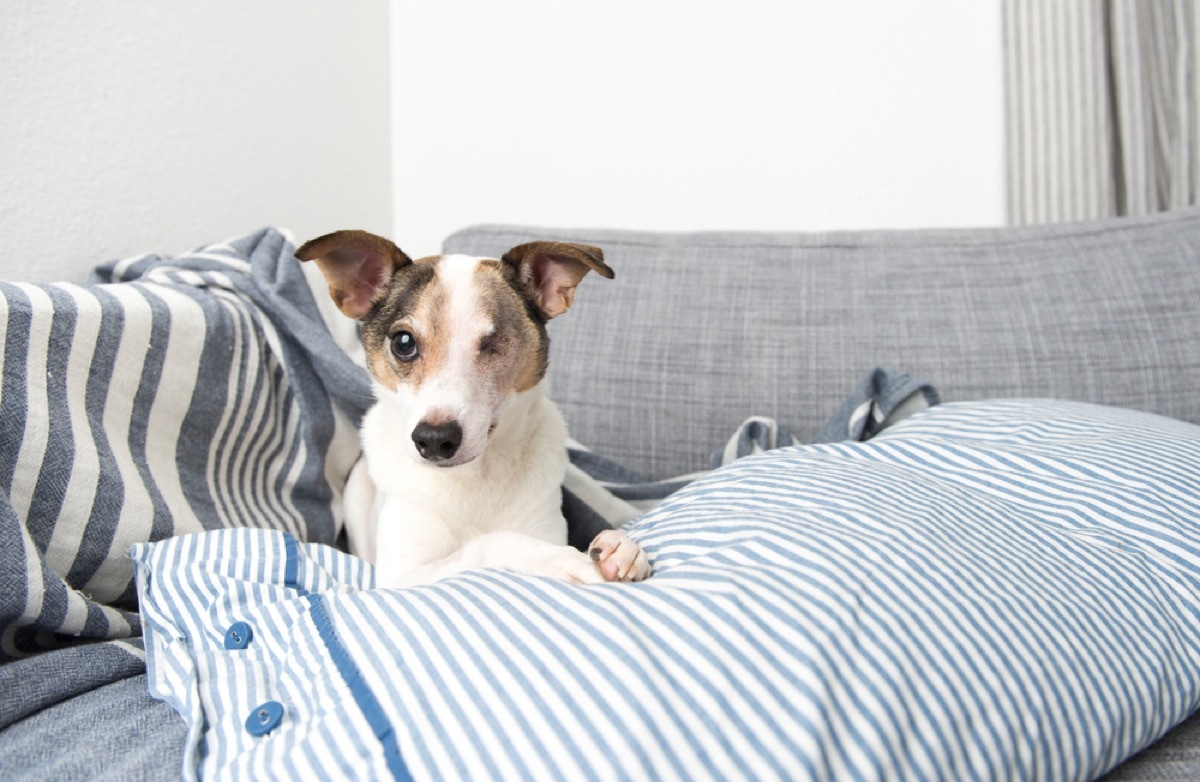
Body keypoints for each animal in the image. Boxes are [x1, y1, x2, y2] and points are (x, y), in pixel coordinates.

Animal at [296, 230, 652, 585]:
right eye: (403, 342)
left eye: (494, 342)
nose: (434, 439)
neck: (475, 477)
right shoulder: (400, 577)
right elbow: (488, 542)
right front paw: (562, 559)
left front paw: (620, 547)